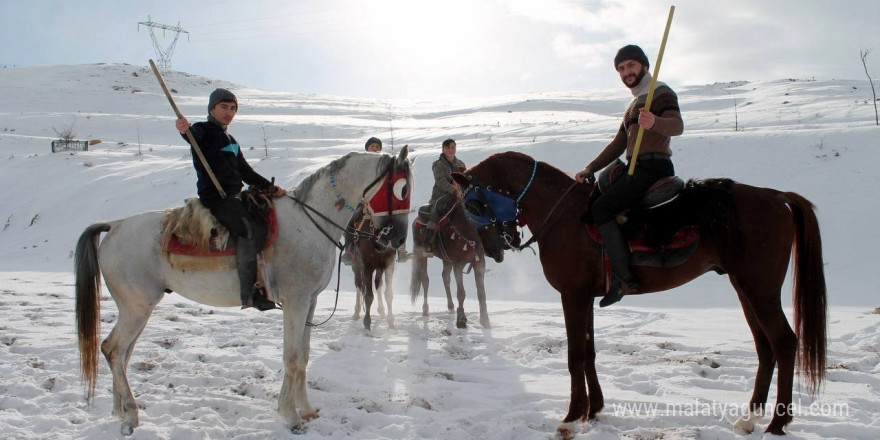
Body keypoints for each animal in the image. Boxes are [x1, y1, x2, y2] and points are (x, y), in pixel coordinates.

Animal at [74, 150, 410, 434]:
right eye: (402, 190)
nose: (398, 238)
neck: (310, 222)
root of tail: (115, 225)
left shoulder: (310, 303)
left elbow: (303, 357)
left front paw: (306, 409)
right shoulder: (296, 302)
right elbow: (291, 357)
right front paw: (291, 416)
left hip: (137, 310)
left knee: (121, 355)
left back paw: (120, 412)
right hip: (137, 308)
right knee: (113, 349)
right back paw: (130, 415)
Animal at [408, 194, 506, 328]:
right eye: (492, 227)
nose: (500, 254)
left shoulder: (479, 263)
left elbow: (481, 293)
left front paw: (485, 320)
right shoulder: (458, 266)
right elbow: (461, 293)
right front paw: (461, 320)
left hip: (446, 260)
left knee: (445, 277)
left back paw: (450, 306)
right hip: (421, 255)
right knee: (425, 280)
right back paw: (425, 309)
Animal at [454, 151, 824, 436]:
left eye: (473, 204)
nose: (492, 250)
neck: (563, 214)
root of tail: (777, 196)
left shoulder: (572, 296)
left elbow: (575, 356)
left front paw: (571, 418)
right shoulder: (586, 297)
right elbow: (589, 353)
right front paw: (594, 409)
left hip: (759, 288)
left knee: (784, 342)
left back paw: (777, 424)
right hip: (745, 288)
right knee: (765, 347)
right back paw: (750, 418)